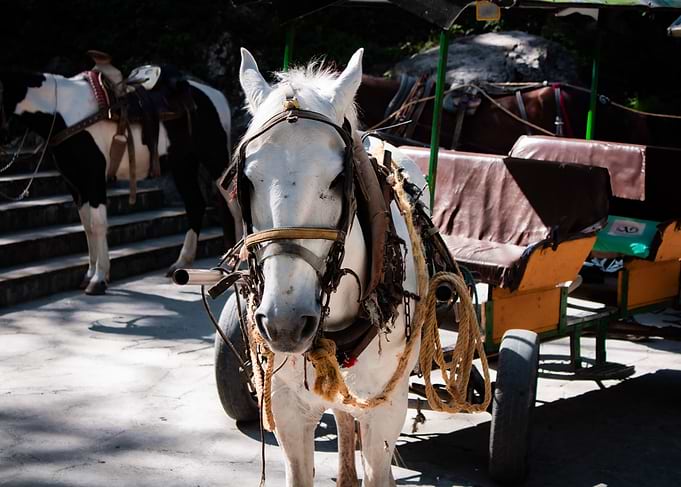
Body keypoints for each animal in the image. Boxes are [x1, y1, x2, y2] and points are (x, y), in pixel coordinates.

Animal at [0, 67, 232, 294]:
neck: (65, 112)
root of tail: (217, 96)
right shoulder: (76, 185)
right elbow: (87, 226)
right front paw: (89, 275)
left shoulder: (94, 180)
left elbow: (98, 224)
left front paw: (99, 279)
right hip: (183, 164)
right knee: (195, 205)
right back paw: (181, 263)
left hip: (215, 159)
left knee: (231, 204)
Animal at [228, 47, 428, 486]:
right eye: (245, 181)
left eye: (338, 179)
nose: (284, 323)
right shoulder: (287, 408)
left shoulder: (386, 409)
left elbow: (378, 471)